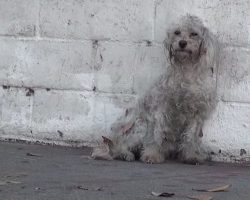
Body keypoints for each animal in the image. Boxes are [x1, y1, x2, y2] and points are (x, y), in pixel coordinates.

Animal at [91, 14, 219, 164]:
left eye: (194, 34)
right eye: (177, 32)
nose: (182, 43)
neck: (186, 71)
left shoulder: (196, 113)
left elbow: (191, 137)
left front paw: (191, 155)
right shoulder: (160, 108)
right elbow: (156, 134)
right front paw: (152, 155)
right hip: (139, 125)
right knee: (119, 146)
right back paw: (125, 154)